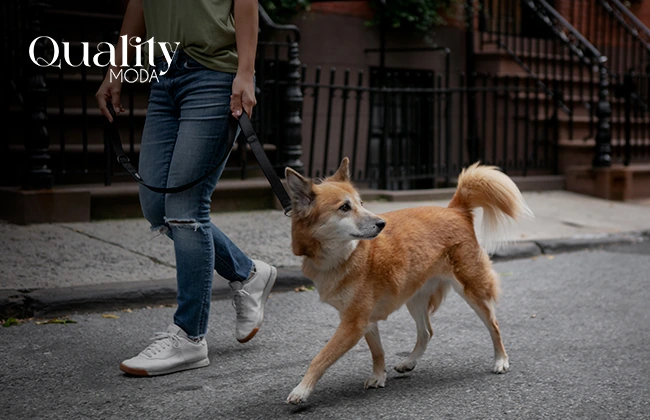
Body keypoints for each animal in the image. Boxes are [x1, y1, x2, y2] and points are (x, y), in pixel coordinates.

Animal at [284, 157, 532, 404]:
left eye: (361, 202)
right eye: (345, 207)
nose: (381, 223)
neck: (344, 255)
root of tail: (455, 210)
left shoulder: (353, 324)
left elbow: (321, 357)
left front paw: (302, 389)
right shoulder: (365, 320)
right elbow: (377, 351)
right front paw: (379, 376)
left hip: (472, 289)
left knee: (494, 325)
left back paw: (501, 360)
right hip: (415, 298)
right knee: (426, 332)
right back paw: (409, 362)